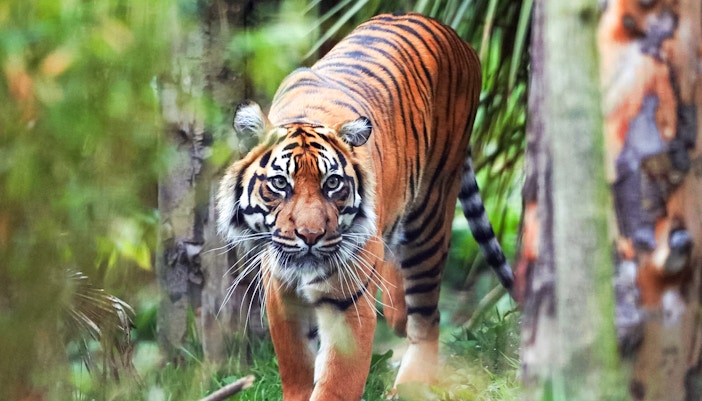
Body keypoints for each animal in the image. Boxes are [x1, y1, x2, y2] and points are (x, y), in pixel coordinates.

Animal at [216, 12, 514, 401]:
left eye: (332, 184)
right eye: (280, 184)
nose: (309, 236)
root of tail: (453, 34)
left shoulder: (349, 307)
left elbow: (337, 384)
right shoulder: (282, 299)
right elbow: (296, 368)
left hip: (429, 216)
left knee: (427, 317)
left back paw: (410, 384)